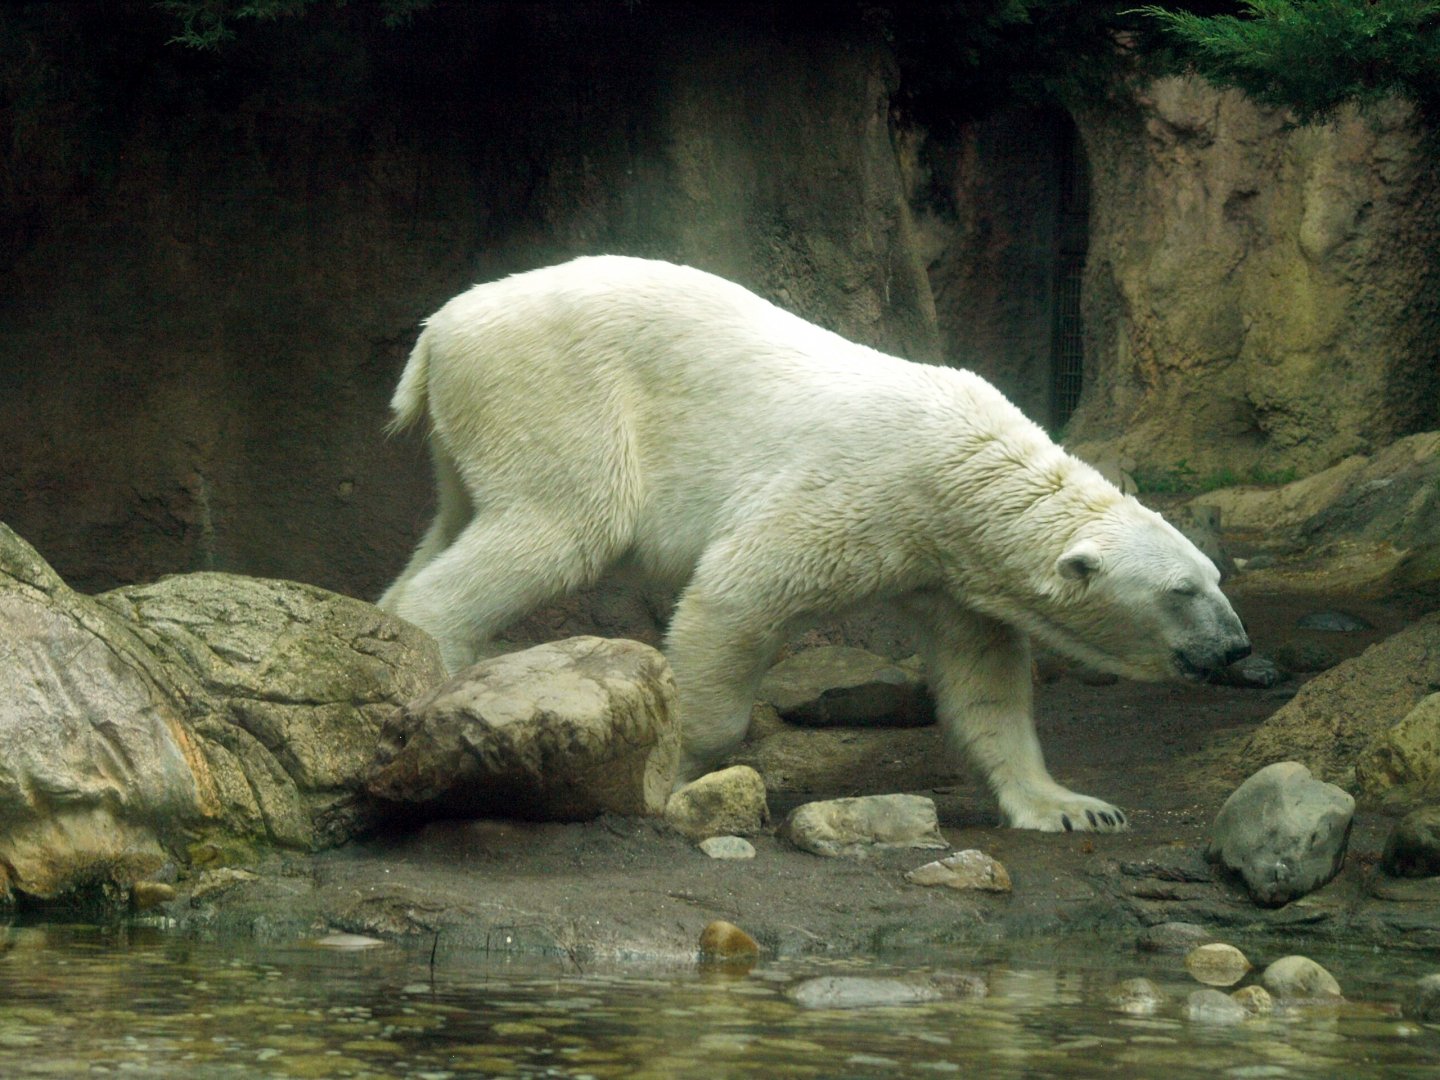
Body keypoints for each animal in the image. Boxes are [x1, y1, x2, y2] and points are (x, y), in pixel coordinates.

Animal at [379, 255, 1250, 832]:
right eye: (1181, 592)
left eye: (1217, 576)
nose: (1238, 649)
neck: (962, 470)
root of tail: (437, 330)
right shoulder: (862, 492)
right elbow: (734, 592)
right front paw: (672, 776)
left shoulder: (947, 569)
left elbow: (986, 682)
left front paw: (1071, 807)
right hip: (554, 391)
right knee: (565, 523)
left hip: (472, 428)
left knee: (455, 521)